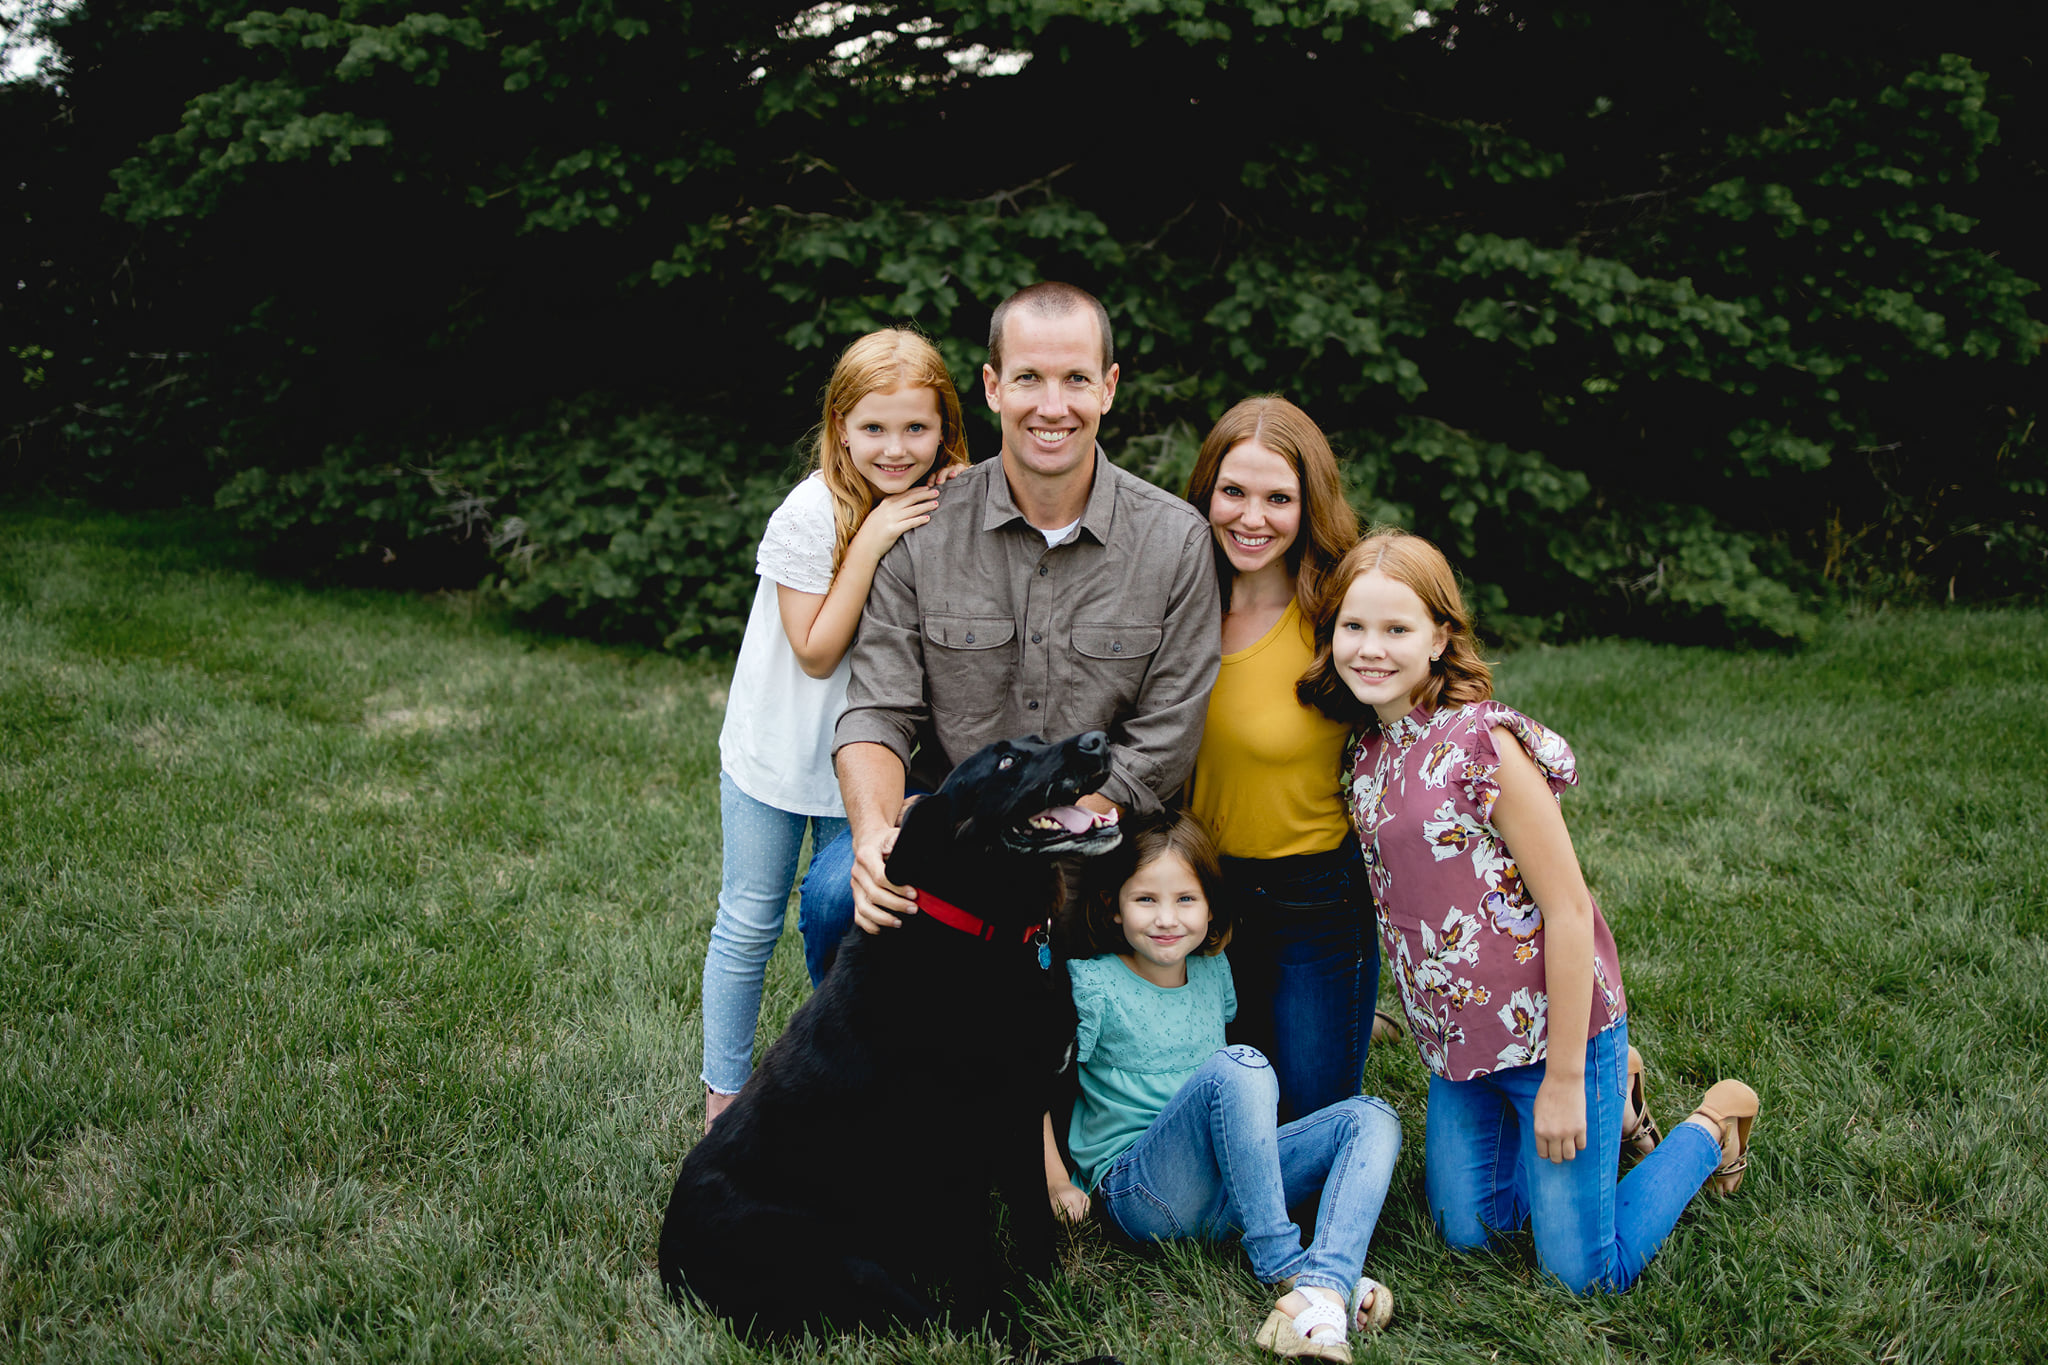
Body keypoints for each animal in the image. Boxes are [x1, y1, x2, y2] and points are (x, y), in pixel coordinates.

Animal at [659, 732, 1122, 1342]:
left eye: (1041, 741)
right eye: (1005, 761)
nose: (1097, 740)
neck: (987, 933)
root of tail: (669, 1262)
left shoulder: (1021, 1123)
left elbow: (1036, 1225)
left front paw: (1052, 1298)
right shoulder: (960, 1158)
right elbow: (982, 1286)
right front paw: (1018, 1331)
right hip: (844, 1261)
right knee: (940, 1321)